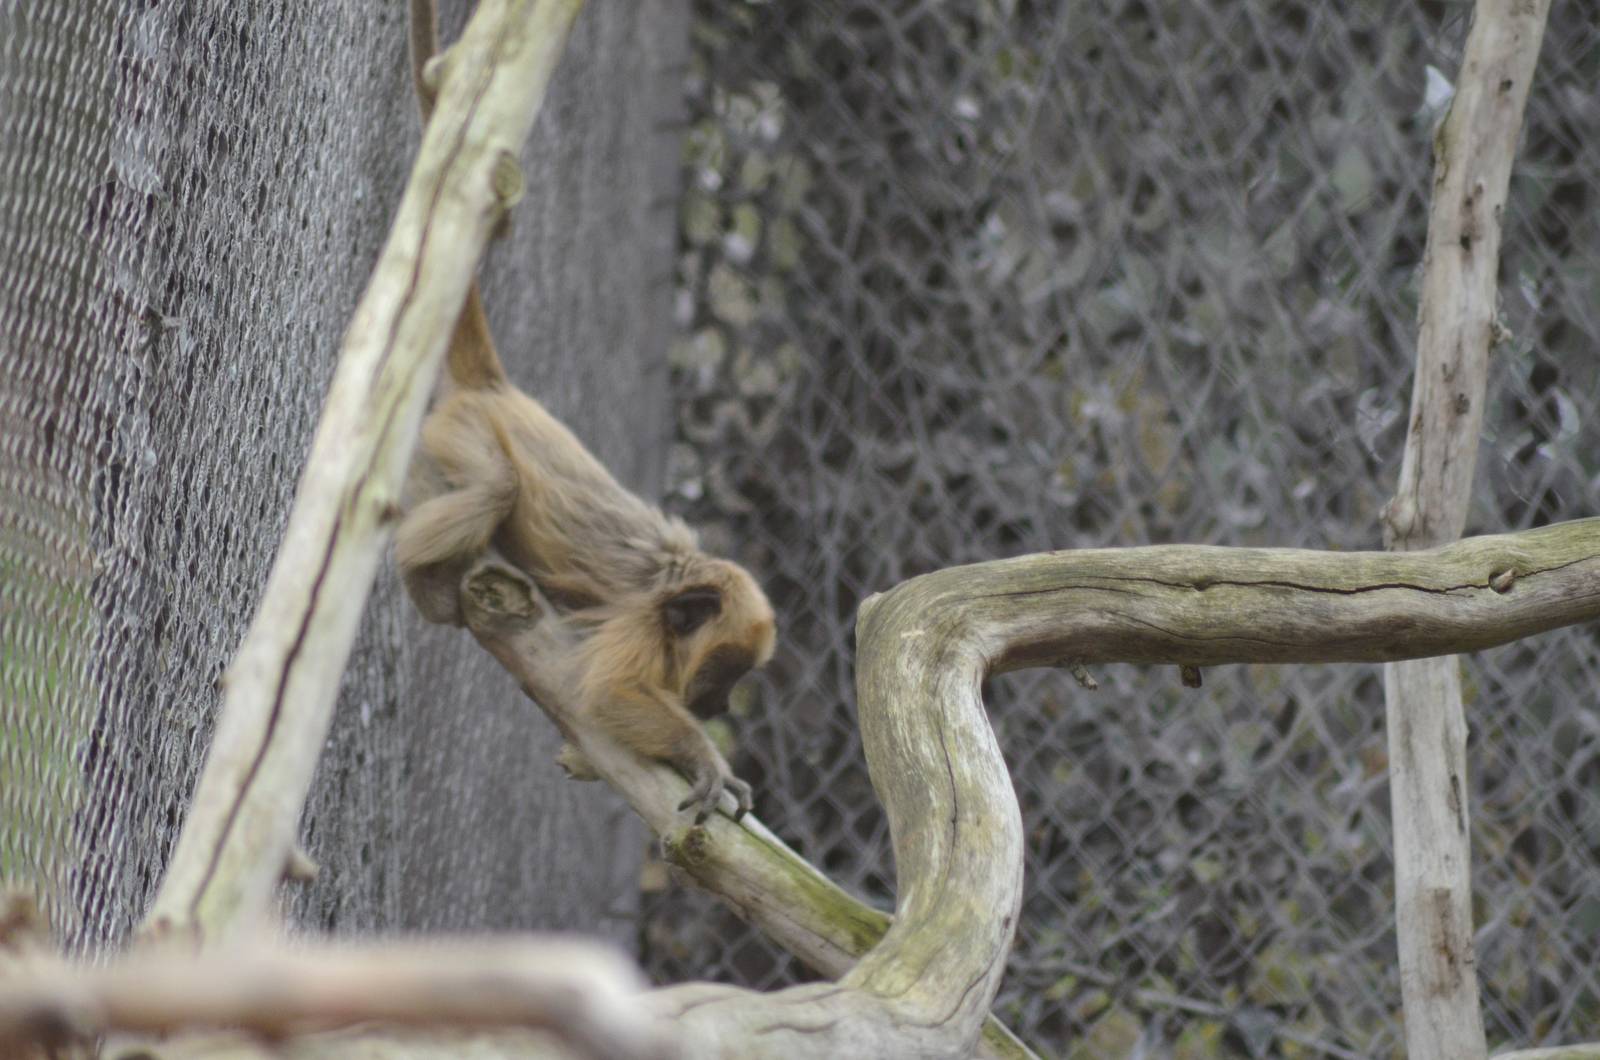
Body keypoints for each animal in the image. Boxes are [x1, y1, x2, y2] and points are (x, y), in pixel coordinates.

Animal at [396, 0, 775, 823]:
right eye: (724, 672)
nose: (720, 709)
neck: (676, 590)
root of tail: (500, 391)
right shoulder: (640, 625)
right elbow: (606, 695)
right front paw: (706, 758)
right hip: (461, 430)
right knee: (493, 486)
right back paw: (417, 569)